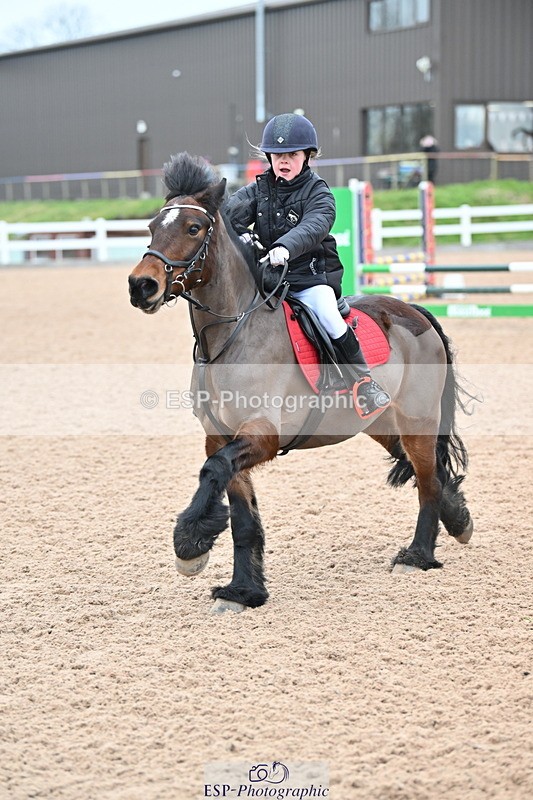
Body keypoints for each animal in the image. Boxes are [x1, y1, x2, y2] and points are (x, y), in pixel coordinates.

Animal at [128, 152, 473, 614]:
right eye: (152, 227)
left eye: (193, 228)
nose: (142, 286)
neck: (233, 335)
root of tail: (412, 309)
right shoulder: (220, 435)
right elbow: (239, 513)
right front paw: (242, 591)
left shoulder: (262, 433)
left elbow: (212, 471)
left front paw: (190, 545)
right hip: (379, 423)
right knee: (427, 469)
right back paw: (458, 519)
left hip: (417, 418)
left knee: (428, 478)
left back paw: (417, 556)